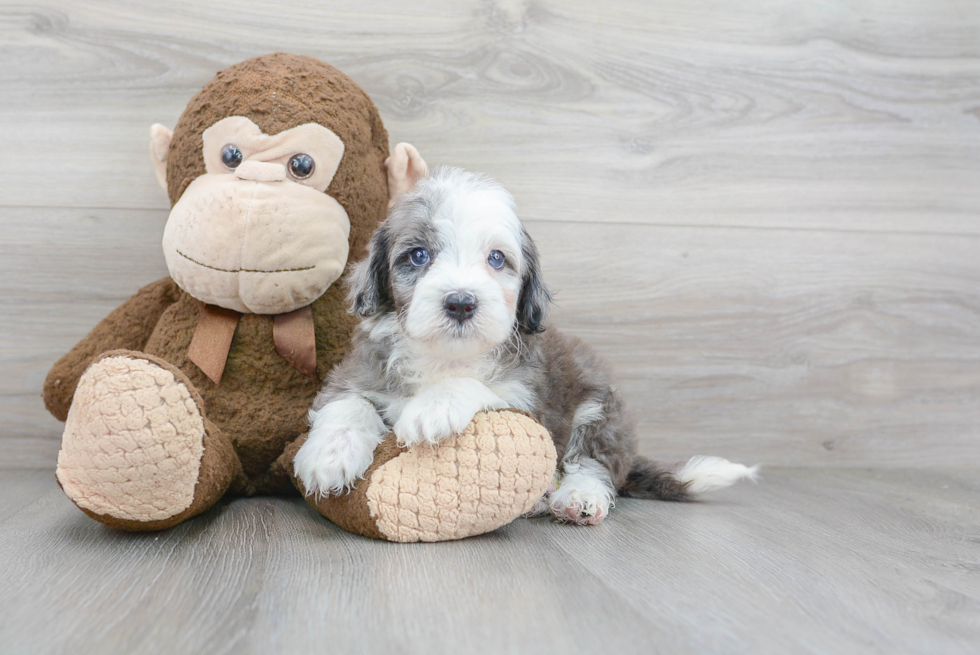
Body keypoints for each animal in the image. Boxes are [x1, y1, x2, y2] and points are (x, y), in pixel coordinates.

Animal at [292, 167, 756, 524]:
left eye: (497, 259)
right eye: (419, 255)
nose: (461, 302)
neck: (446, 356)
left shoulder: (529, 400)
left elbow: (477, 388)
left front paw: (434, 408)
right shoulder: (355, 373)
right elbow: (348, 403)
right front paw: (329, 457)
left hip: (602, 408)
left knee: (594, 463)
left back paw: (577, 498)